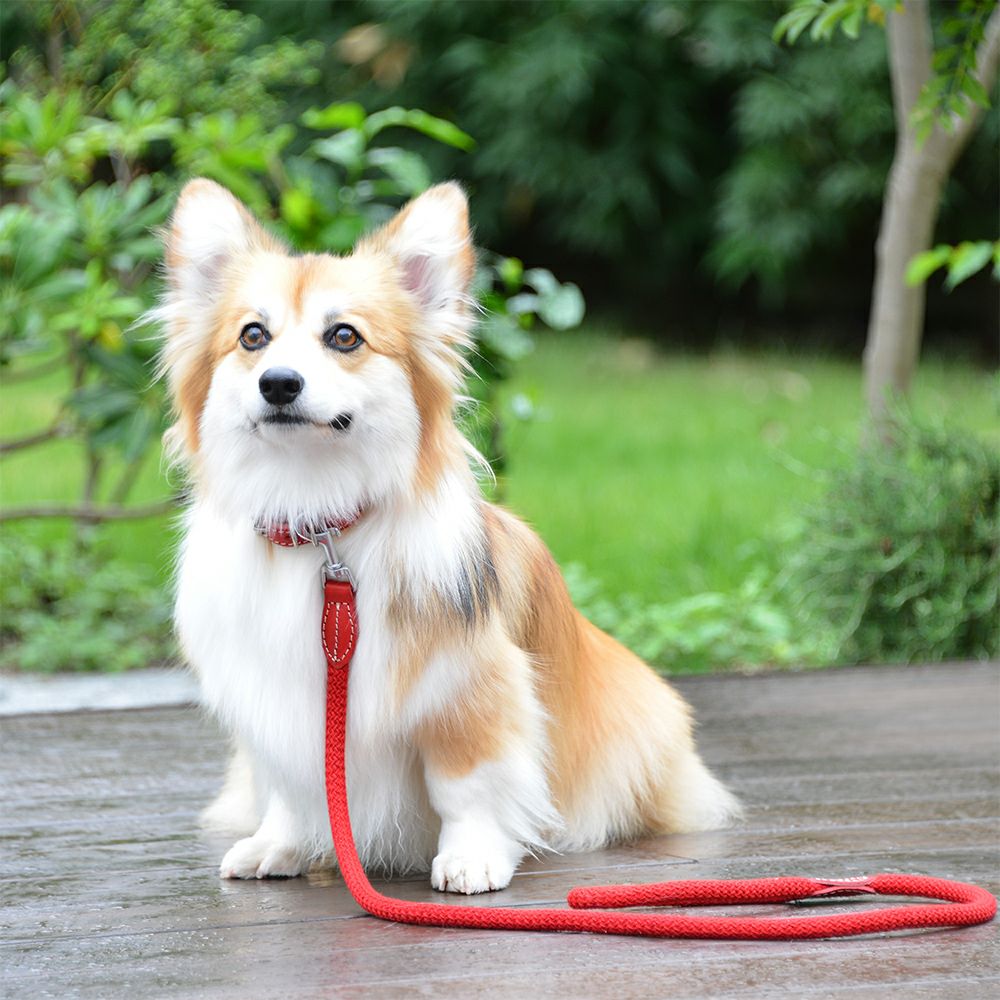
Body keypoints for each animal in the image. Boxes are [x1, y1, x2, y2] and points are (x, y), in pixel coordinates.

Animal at [157, 178, 740, 893]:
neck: (319, 519)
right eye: (252, 336)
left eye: (344, 336)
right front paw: (280, 844)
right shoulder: (277, 709)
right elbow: (293, 787)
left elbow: (466, 788)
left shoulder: (470, 693)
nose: (279, 383)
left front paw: (471, 858)